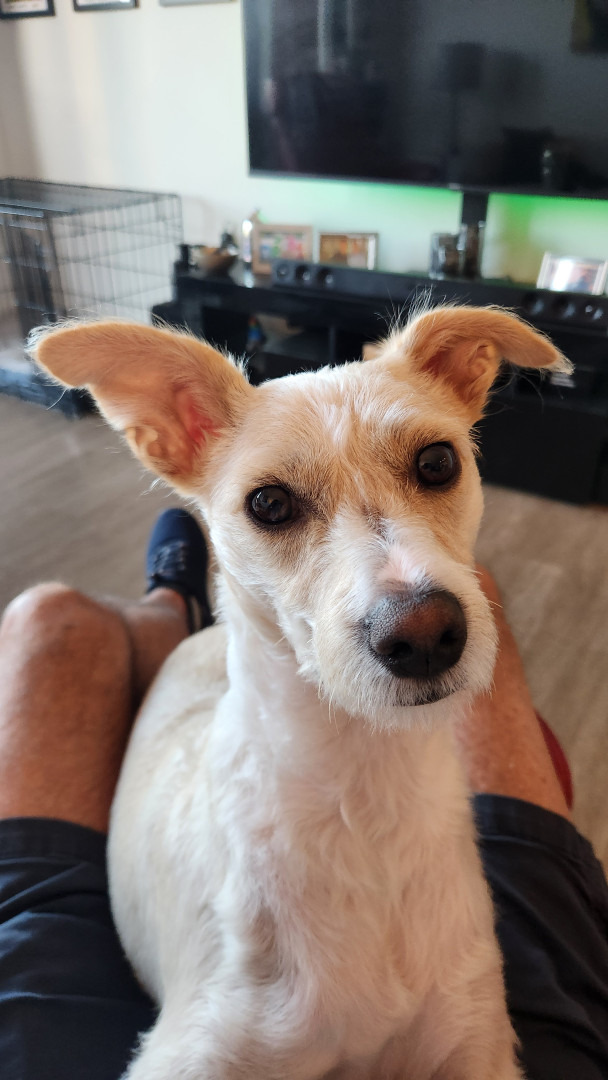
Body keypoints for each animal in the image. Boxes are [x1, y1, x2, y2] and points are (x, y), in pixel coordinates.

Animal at [32, 305, 570, 1079]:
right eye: (270, 503)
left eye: (438, 462)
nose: (425, 634)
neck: (361, 787)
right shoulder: (190, 1052)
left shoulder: (475, 1042)